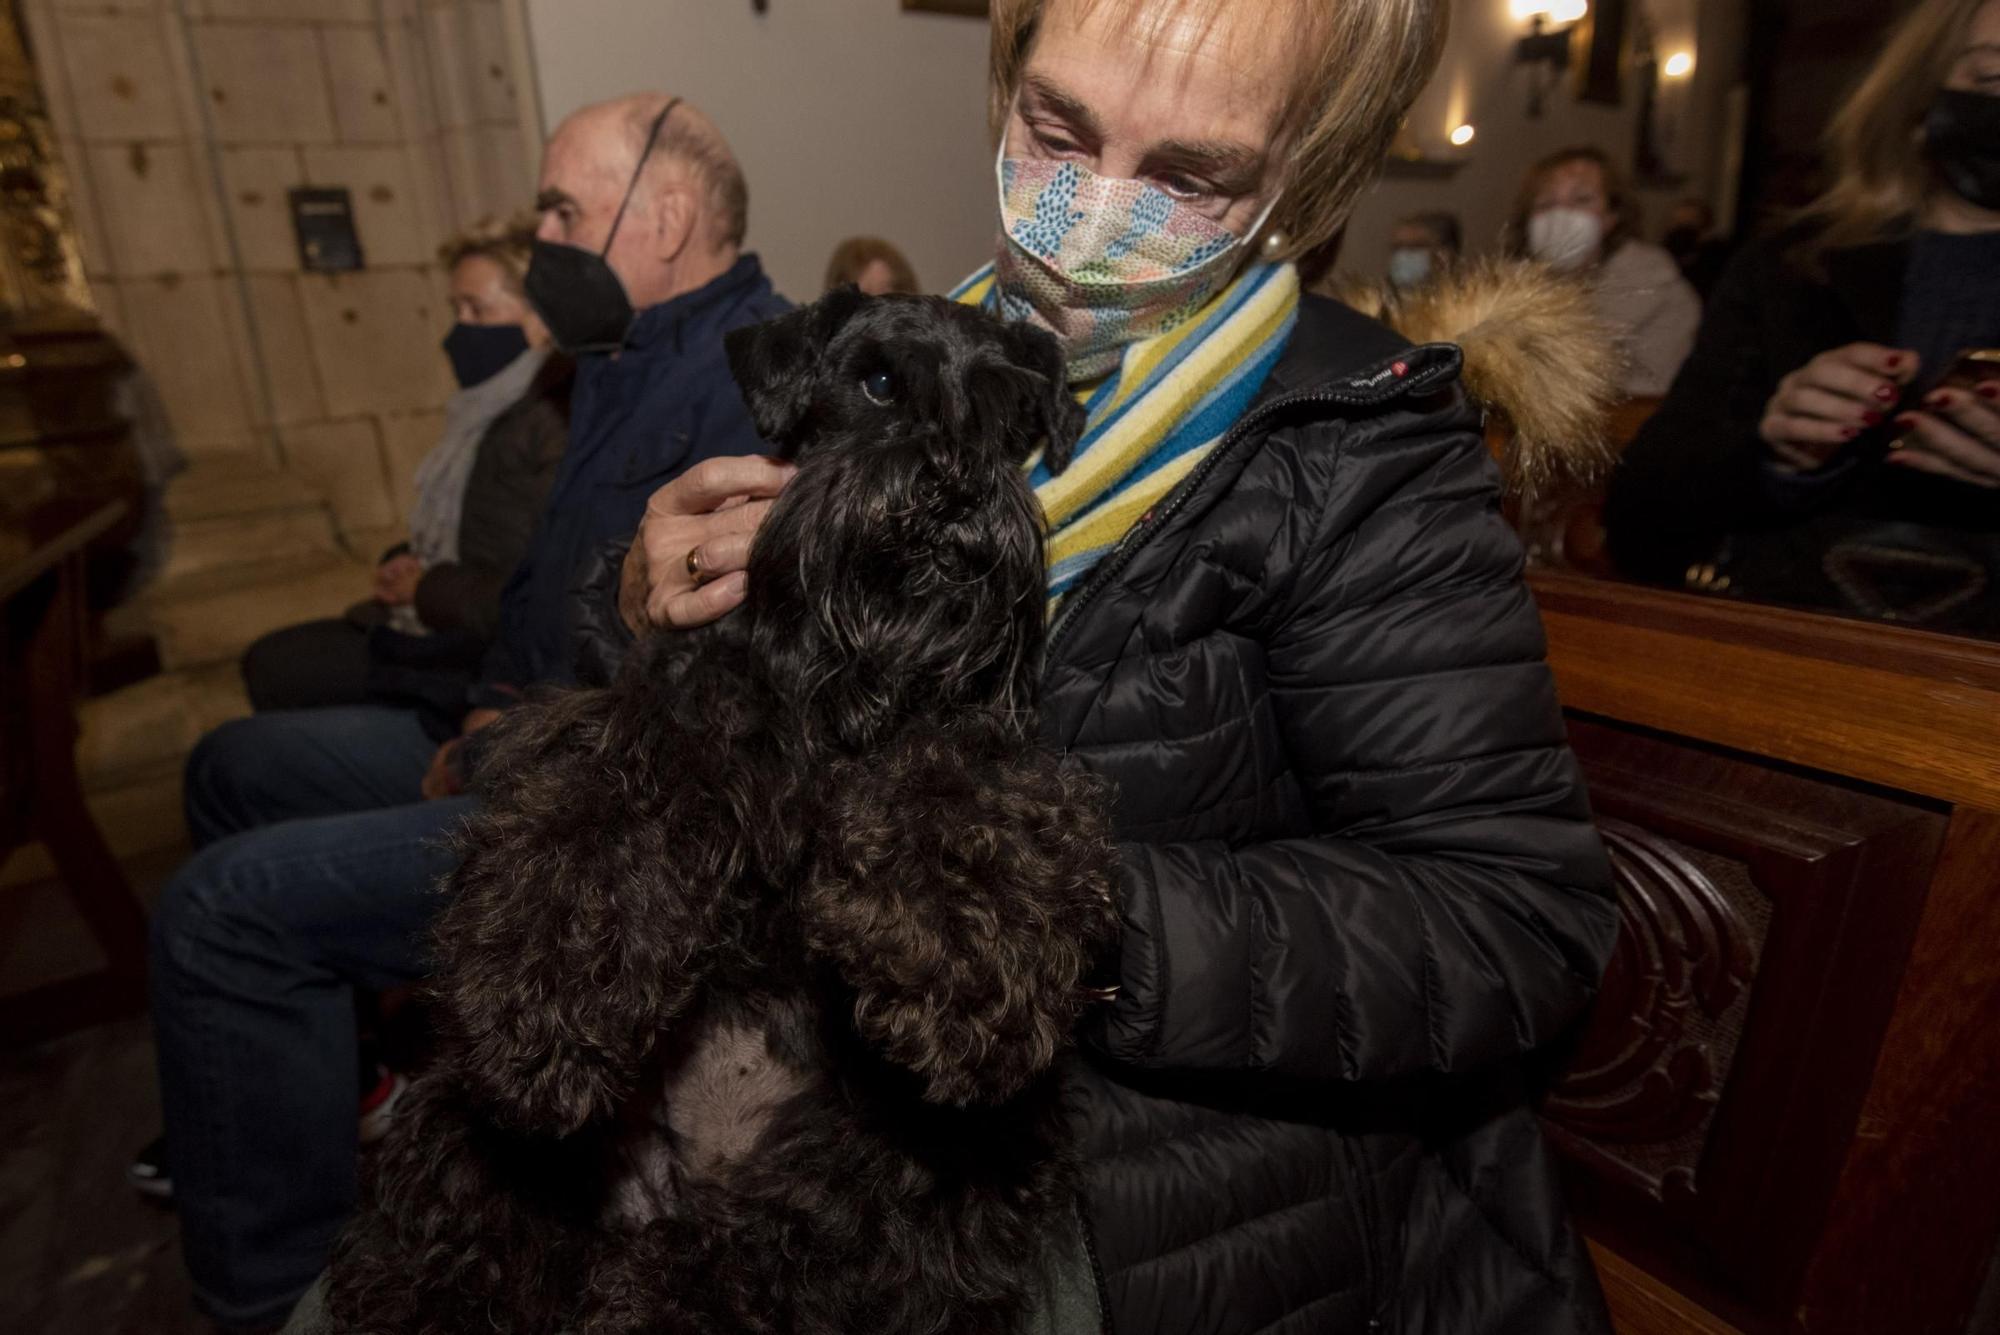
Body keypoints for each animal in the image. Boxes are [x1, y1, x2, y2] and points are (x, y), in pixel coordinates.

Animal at [320, 287, 1120, 1327]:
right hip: (461, 1135)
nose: (951, 482)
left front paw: (968, 967)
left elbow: (967, 801)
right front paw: (538, 1004)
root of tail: (658, 1197)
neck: (840, 686)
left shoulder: (967, 742)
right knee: (452, 1251)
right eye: (877, 380)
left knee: (740, 1266)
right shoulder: (660, 720)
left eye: (1005, 412)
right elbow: (590, 821)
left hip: (887, 1183)